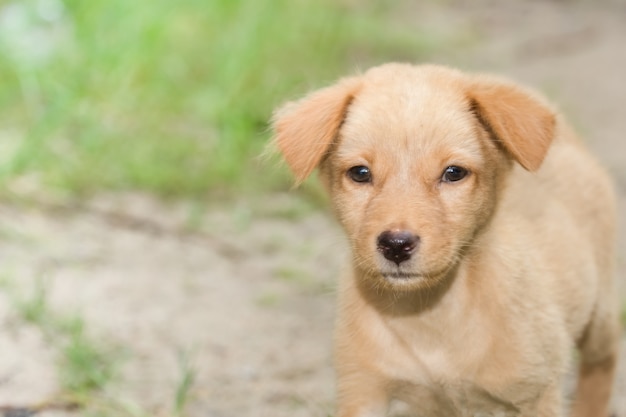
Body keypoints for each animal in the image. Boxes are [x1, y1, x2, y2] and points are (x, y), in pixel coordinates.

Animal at [270, 62, 616, 416]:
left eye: (453, 173)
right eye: (360, 173)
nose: (396, 245)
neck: (429, 315)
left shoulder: (535, 392)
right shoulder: (362, 387)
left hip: (599, 312)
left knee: (603, 361)